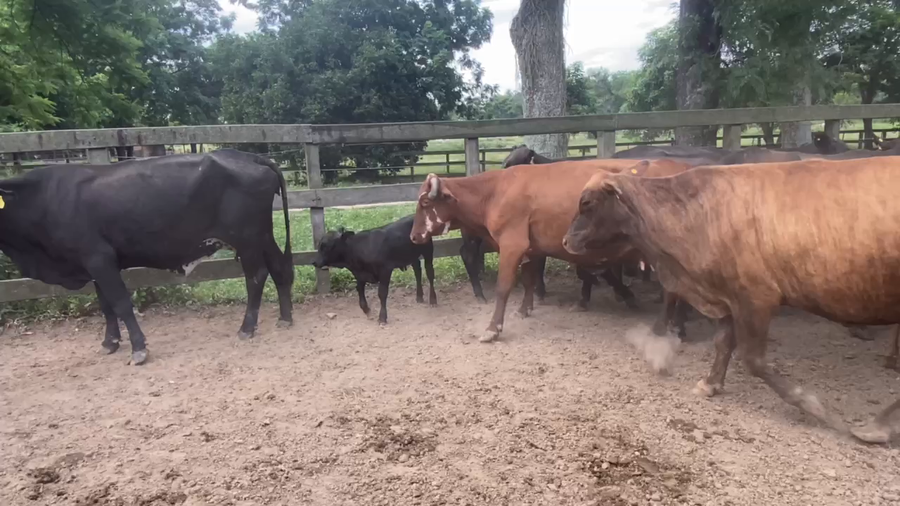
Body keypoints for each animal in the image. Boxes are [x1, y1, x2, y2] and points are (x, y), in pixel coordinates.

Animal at [0, 149, 294, 365]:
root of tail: (248, 156)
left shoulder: (99, 257)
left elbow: (120, 303)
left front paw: (138, 348)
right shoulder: (93, 263)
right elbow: (106, 305)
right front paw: (110, 342)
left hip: (247, 239)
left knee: (256, 277)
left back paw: (247, 327)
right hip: (262, 236)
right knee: (279, 268)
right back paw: (285, 318)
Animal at [410, 158, 689, 343]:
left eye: (424, 202)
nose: (413, 236)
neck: (495, 190)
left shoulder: (512, 244)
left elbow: (504, 287)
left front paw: (492, 328)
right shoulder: (531, 248)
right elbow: (530, 279)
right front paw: (525, 309)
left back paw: (665, 327)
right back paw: (677, 325)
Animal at [562, 157, 900, 443]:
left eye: (587, 202)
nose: (566, 241)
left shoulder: (755, 298)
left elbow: (753, 359)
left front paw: (810, 404)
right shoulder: (725, 296)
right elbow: (723, 342)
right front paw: (710, 383)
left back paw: (877, 426)